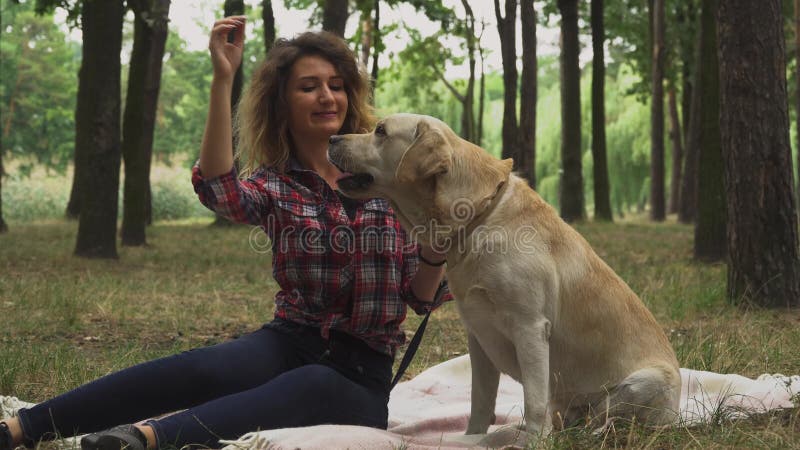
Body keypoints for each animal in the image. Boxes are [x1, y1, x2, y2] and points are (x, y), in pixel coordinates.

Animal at [328, 113, 680, 436]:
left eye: (380, 131)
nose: (332, 138)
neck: (478, 217)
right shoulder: (478, 334)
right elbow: (481, 400)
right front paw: (473, 439)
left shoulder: (530, 328)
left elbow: (534, 402)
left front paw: (533, 440)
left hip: (645, 382)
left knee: (605, 417)